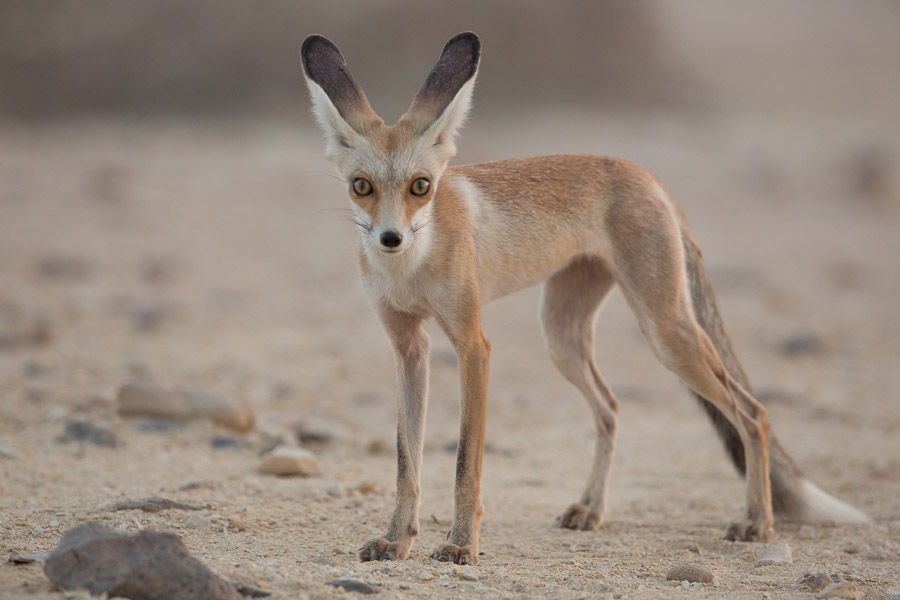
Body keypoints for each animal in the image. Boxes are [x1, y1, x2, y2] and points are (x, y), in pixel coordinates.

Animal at [298, 30, 868, 564]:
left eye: (421, 186)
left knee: (753, 413)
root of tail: (645, 174)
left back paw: (758, 521)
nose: (391, 238)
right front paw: (397, 541)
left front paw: (461, 546)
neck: (409, 272)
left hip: (665, 333)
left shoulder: (473, 346)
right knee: (612, 407)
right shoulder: (408, 348)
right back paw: (592, 509)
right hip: (562, 337)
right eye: (362, 186)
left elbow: (465, 466)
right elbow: (406, 464)